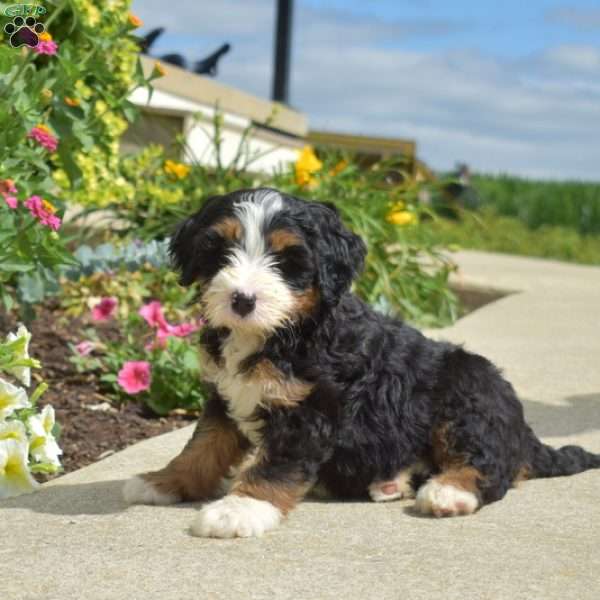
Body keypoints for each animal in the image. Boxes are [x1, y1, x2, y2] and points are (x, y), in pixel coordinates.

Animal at [123, 189, 600, 540]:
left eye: (288, 261)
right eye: (219, 250)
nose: (242, 300)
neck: (281, 333)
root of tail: (523, 432)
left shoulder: (310, 410)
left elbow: (275, 464)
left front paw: (241, 508)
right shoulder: (225, 397)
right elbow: (201, 448)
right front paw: (163, 480)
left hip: (466, 394)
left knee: (492, 466)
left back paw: (448, 492)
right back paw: (392, 482)